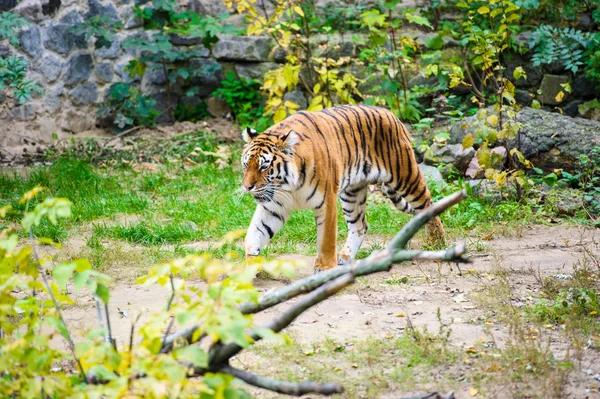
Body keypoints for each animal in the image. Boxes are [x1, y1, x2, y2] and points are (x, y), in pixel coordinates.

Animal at [240, 103, 446, 274]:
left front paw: (324, 268)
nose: (247, 187)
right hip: (352, 193)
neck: (288, 186)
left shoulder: (326, 201)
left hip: (405, 177)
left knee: (428, 205)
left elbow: (326, 240)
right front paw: (250, 266)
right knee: (360, 225)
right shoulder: (274, 206)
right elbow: (255, 233)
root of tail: (391, 114)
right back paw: (345, 257)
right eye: (246, 165)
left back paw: (436, 244)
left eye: (264, 167)